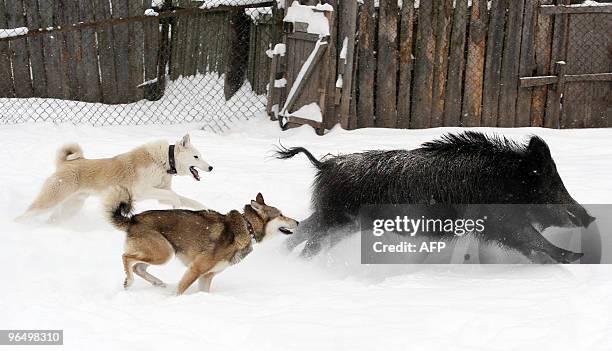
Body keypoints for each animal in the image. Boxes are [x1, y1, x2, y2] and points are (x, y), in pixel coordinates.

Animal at [16, 135, 213, 223]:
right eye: (196, 157)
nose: (211, 167)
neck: (163, 160)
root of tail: (64, 163)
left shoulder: (161, 193)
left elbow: (187, 200)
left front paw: (205, 209)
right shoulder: (144, 192)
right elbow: (175, 198)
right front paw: (176, 208)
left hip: (71, 206)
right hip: (50, 201)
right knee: (26, 214)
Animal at [107, 190, 298, 294]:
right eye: (281, 214)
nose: (297, 222)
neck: (247, 226)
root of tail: (133, 219)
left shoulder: (207, 276)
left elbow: (204, 292)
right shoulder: (196, 269)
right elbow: (180, 291)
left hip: (161, 253)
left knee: (138, 266)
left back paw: (157, 282)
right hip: (164, 253)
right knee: (126, 258)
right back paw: (129, 282)